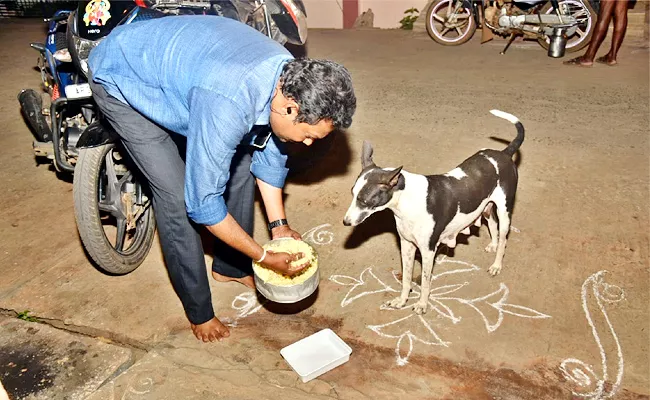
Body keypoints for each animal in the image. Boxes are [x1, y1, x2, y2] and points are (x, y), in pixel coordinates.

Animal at [342, 110, 524, 316]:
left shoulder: (428, 251)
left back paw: (496, 264)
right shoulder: (406, 245)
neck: (407, 200)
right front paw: (402, 300)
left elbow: (425, 281)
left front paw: (422, 304)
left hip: (505, 212)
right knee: (492, 223)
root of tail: (504, 153)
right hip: (485, 208)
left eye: (364, 200)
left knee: (503, 239)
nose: (346, 222)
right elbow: (406, 277)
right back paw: (493, 245)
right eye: (353, 194)